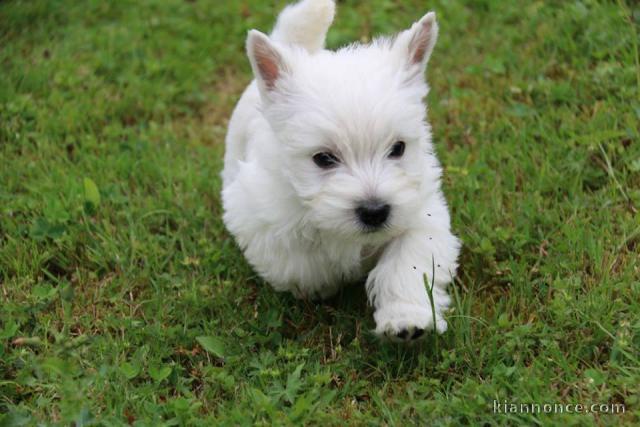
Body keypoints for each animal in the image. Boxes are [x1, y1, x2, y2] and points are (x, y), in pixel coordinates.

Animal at [221, 0, 460, 342]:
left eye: (398, 148)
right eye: (323, 158)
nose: (375, 212)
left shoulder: (420, 214)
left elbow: (407, 265)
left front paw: (406, 319)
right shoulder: (261, 218)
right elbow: (301, 264)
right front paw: (325, 282)